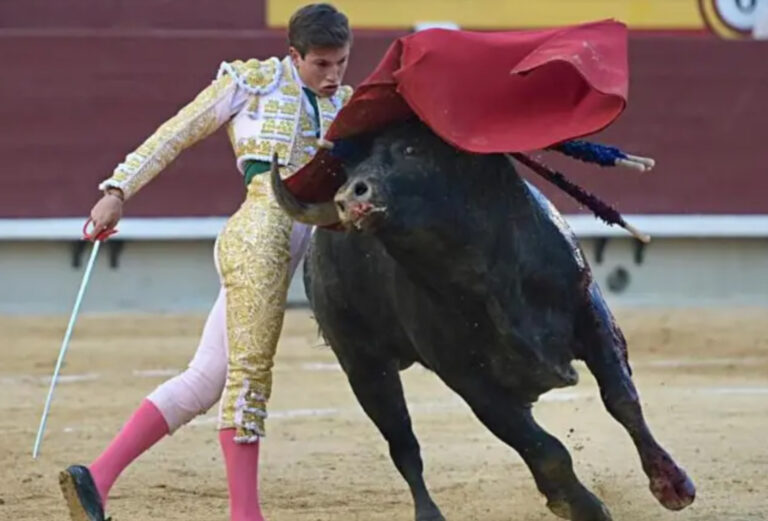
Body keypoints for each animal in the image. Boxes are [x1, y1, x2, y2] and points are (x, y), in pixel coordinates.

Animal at [271, 119, 696, 521]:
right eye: (347, 166)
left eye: (411, 149)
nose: (348, 197)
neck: (483, 270)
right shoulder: (469, 379)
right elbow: (545, 447)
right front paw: (584, 507)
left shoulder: (592, 316)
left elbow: (622, 399)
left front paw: (672, 484)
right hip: (363, 366)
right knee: (403, 444)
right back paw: (430, 513)